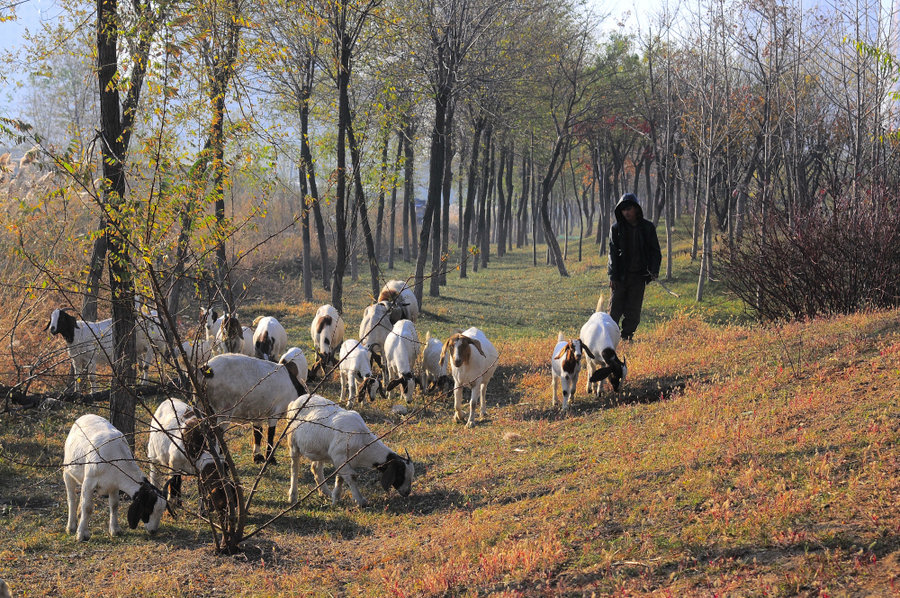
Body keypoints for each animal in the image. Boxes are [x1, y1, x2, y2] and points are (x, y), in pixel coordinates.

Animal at [284, 396, 414, 508]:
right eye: (400, 474)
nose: (407, 492)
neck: (362, 440)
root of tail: (295, 401)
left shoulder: (343, 461)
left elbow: (340, 478)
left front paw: (335, 498)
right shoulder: (340, 457)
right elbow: (351, 477)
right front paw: (360, 501)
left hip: (320, 450)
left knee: (316, 468)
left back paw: (325, 492)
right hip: (292, 441)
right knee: (294, 467)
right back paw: (293, 496)